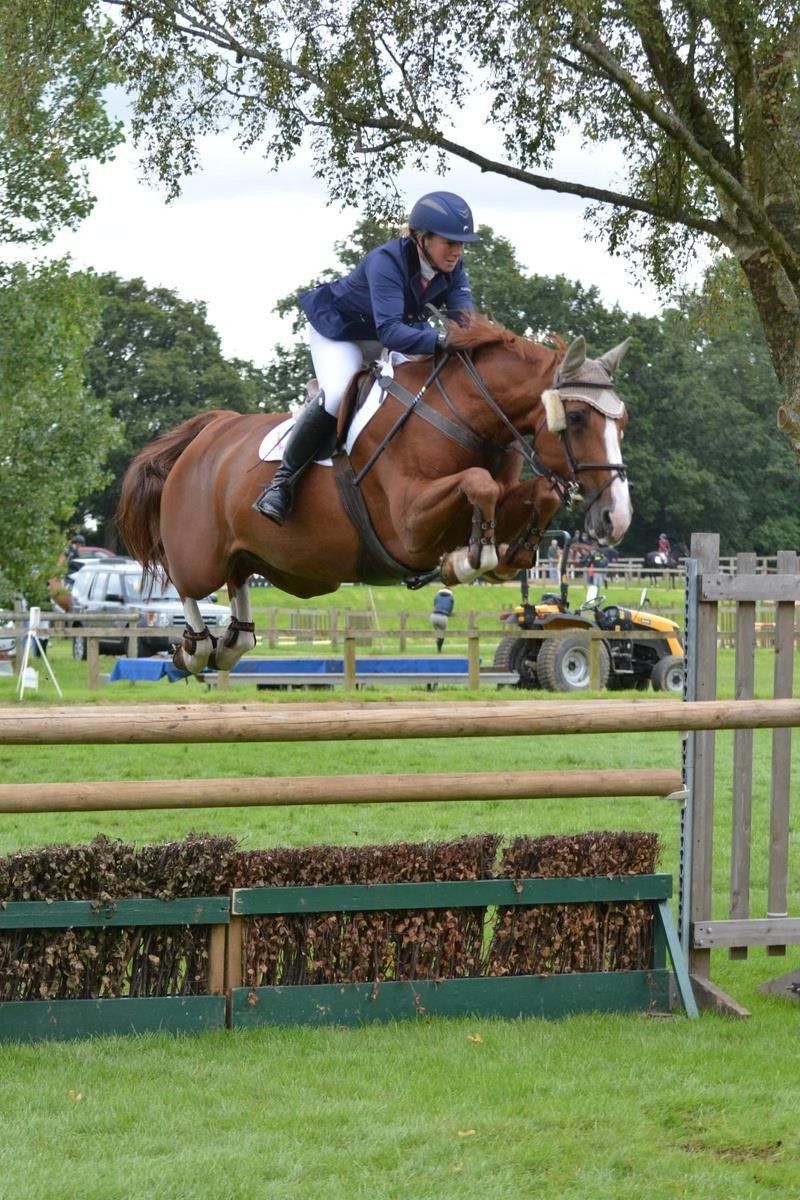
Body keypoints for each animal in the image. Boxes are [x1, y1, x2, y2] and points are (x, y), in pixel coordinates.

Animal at [117, 316, 633, 676]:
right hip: (199, 552)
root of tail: (207, 432)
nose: (617, 519)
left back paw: (230, 643)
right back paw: (193, 650)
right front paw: (469, 560)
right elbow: (476, 483)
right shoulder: (407, 527)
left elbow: (539, 493)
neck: (462, 415)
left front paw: (505, 555)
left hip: (249, 551)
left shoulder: (495, 500)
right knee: (188, 586)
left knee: (238, 585)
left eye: (622, 421)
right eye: (579, 419)